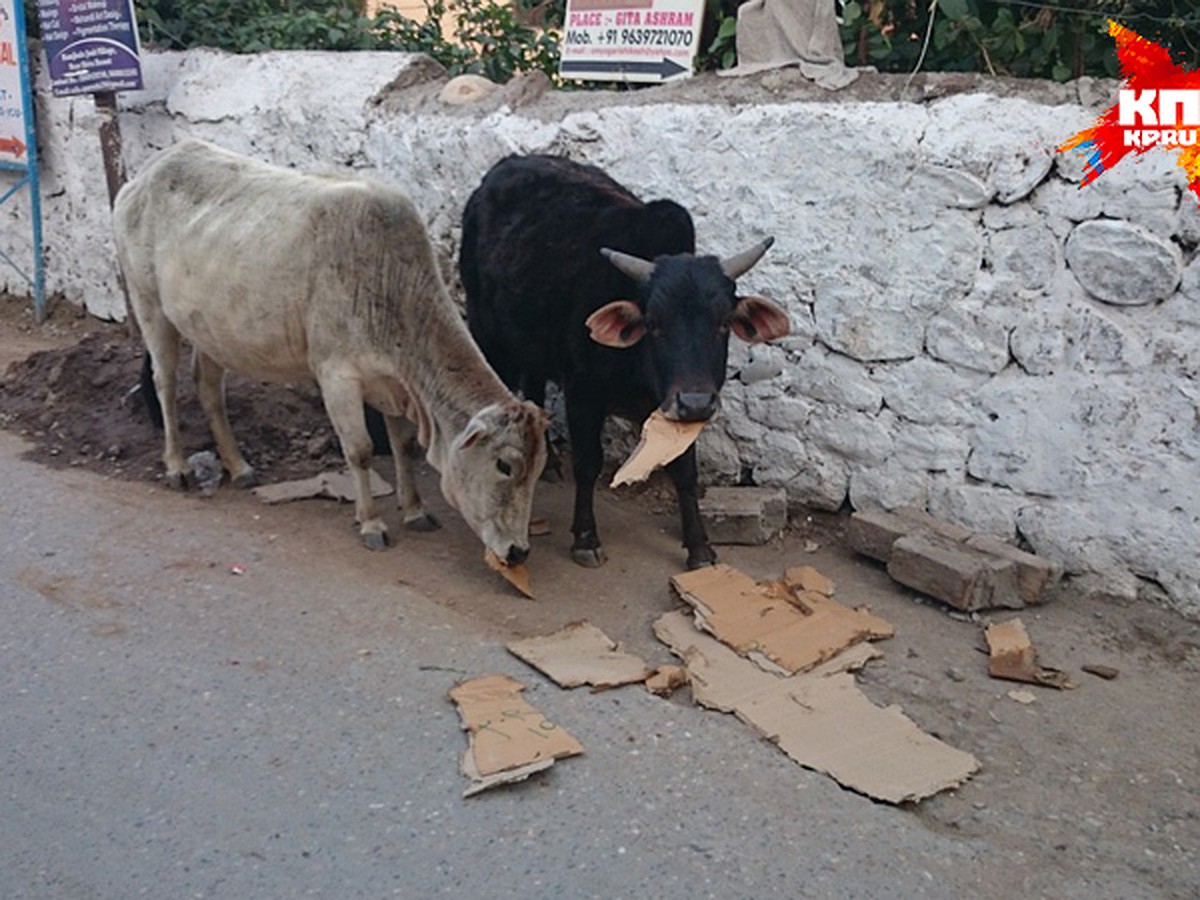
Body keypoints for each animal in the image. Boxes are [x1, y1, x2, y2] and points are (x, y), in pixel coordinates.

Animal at [114, 140, 547, 564]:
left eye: (539, 467)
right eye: (505, 465)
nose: (518, 552)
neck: (390, 283)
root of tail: (144, 174)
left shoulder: (394, 383)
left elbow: (402, 445)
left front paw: (414, 511)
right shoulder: (337, 375)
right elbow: (360, 450)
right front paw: (371, 523)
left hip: (211, 329)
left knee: (208, 389)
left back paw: (239, 467)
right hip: (149, 303)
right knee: (165, 383)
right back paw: (177, 467)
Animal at [458, 151, 787, 566]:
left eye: (723, 323)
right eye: (655, 324)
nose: (696, 402)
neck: (640, 369)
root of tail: (505, 164)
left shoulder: (677, 409)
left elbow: (685, 472)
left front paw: (699, 546)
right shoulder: (583, 396)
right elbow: (588, 464)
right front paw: (586, 538)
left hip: (532, 343)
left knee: (532, 391)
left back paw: (546, 460)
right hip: (488, 331)